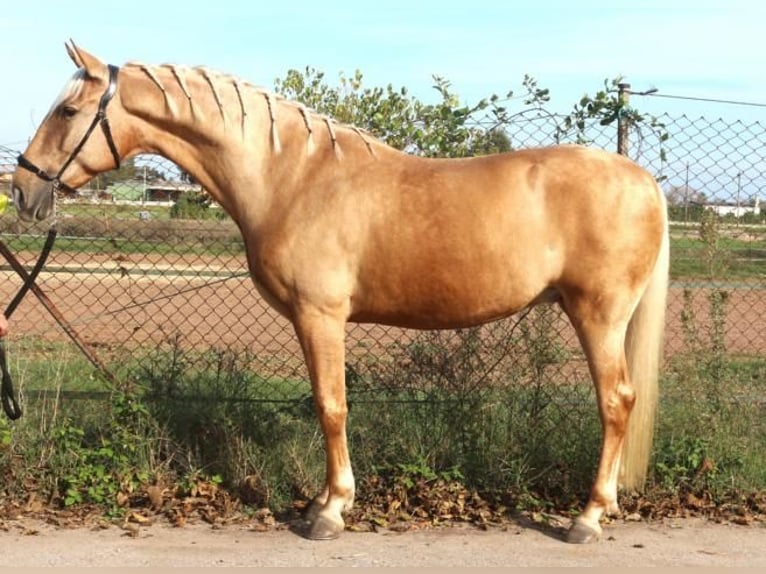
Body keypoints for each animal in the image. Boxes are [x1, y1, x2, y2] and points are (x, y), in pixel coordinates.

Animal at [13, 44, 672, 544]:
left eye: (67, 110)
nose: (21, 189)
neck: (292, 177)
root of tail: (645, 183)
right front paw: (325, 503)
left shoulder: (320, 316)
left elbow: (331, 407)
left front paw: (330, 511)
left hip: (598, 316)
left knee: (615, 402)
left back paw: (588, 517)